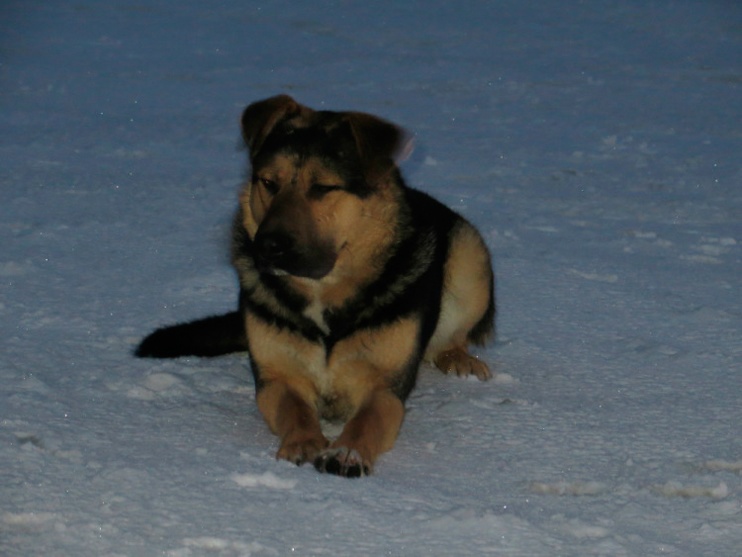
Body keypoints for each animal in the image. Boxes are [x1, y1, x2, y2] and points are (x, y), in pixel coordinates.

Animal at [136, 95, 495, 477]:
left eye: (323, 188)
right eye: (268, 182)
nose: (267, 246)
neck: (323, 292)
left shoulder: (384, 386)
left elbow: (368, 419)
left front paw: (348, 451)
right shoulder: (276, 379)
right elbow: (295, 409)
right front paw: (304, 441)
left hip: (470, 256)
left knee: (451, 337)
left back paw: (460, 360)